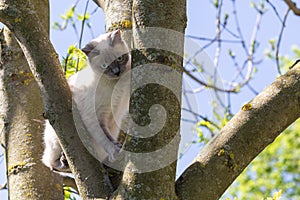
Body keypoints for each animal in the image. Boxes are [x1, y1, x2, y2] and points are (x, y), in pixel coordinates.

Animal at [42, 29, 130, 172]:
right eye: (105, 66)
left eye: (120, 59)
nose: (117, 72)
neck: (115, 84)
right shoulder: (95, 117)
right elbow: (105, 138)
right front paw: (114, 150)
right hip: (55, 139)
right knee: (49, 161)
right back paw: (63, 161)